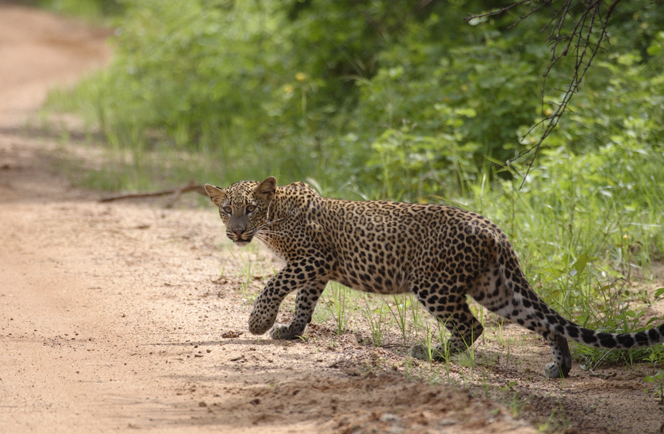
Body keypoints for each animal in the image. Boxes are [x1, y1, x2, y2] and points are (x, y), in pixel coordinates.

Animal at [204, 176, 664, 376]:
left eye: (250, 209)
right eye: (227, 209)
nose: (237, 232)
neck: (275, 215)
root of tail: (495, 229)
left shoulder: (313, 259)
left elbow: (275, 284)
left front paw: (259, 322)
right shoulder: (316, 271)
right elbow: (304, 301)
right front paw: (290, 331)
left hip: (434, 284)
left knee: (472, 326)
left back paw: (430, 354)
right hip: (495, 287)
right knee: (543, 322)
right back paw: (560, 366)